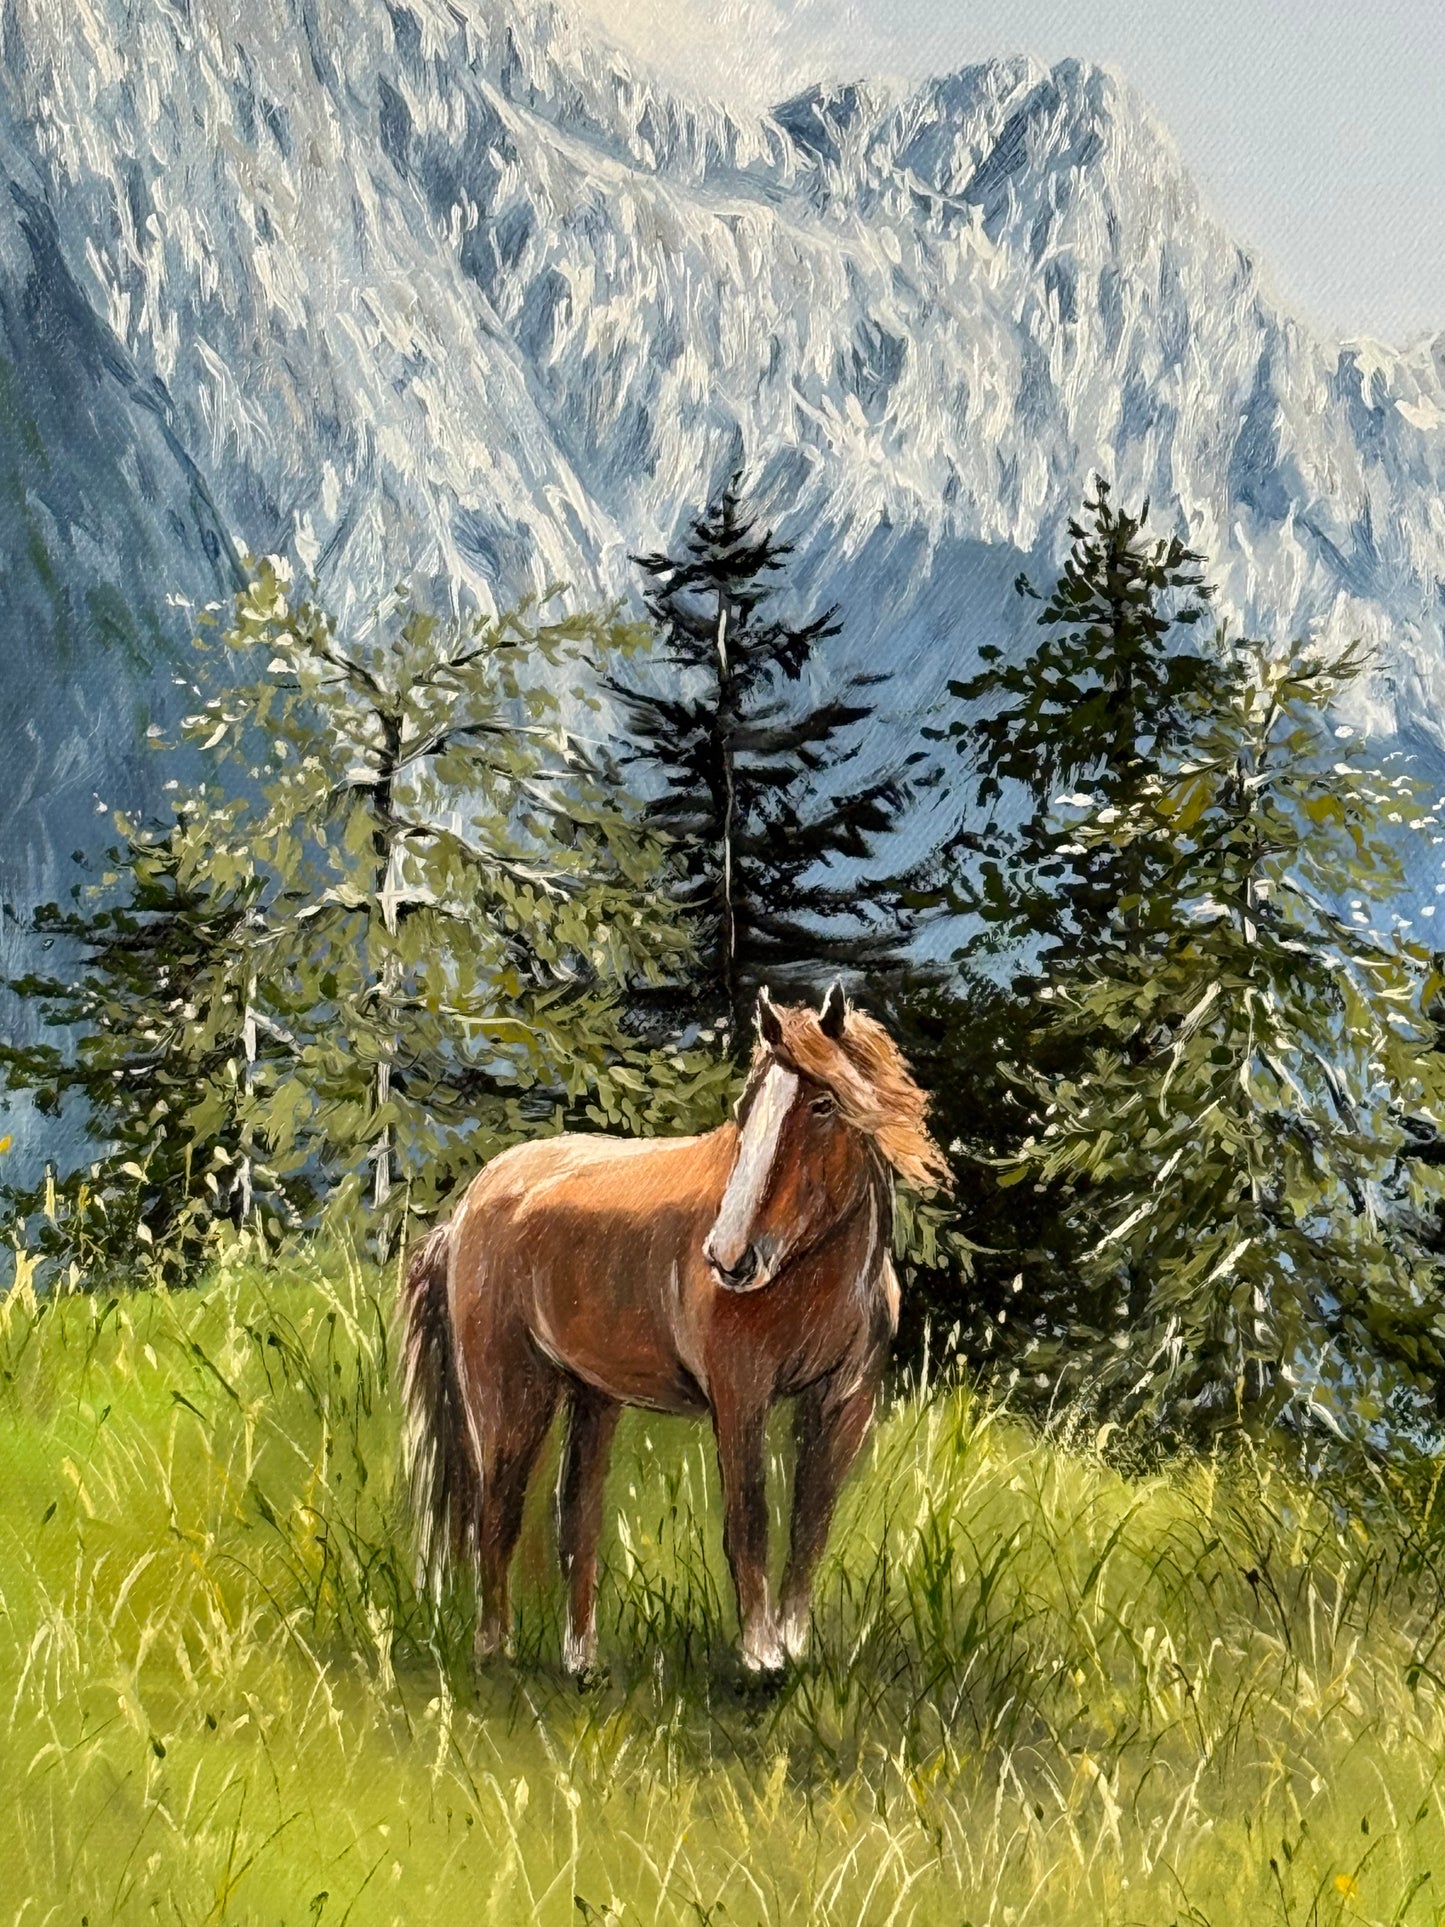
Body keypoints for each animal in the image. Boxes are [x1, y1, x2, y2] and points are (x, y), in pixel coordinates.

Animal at [399, 982, 949, 1675]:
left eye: (824, 1105)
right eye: (746, 1107)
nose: (730, 1257)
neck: (814, 1271)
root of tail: (469, 1205)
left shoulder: (844, 1400)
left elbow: (811, 1522)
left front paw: (794, 1645)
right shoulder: (741, 1398)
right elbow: (749, 1521)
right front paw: (761, 1655)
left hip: (592, 1397)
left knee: (575, 1519)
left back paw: (582, 1663)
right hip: (511, 1395)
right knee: (496, 1517)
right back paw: (493, 1656)